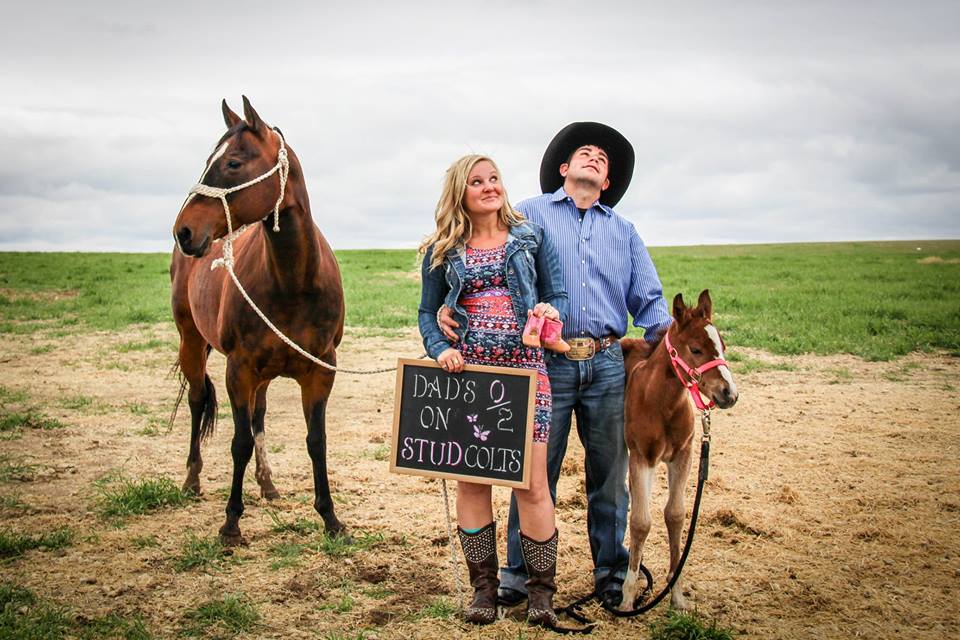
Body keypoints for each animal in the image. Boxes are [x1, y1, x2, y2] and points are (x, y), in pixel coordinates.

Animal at [172, 96, 344, 544]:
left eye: (233, 163)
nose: (183, 231)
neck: (293, 281)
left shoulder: (321, 370)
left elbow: (316, 441)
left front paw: (331, 518)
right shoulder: (240, 369)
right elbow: (239, 443)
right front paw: (231, 523)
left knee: (259, 414)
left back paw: (267, 483)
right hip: (191, 342)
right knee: (198, 401)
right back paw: (191, 479)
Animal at [620, 290, 740, 608]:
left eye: (723, 346)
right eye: (696, 349)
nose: (729, 393)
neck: (662, 402)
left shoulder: (683, 456)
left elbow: (675, 516)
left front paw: (676, 594)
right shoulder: (641, 458)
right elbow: (640, 522)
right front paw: (626, 599)